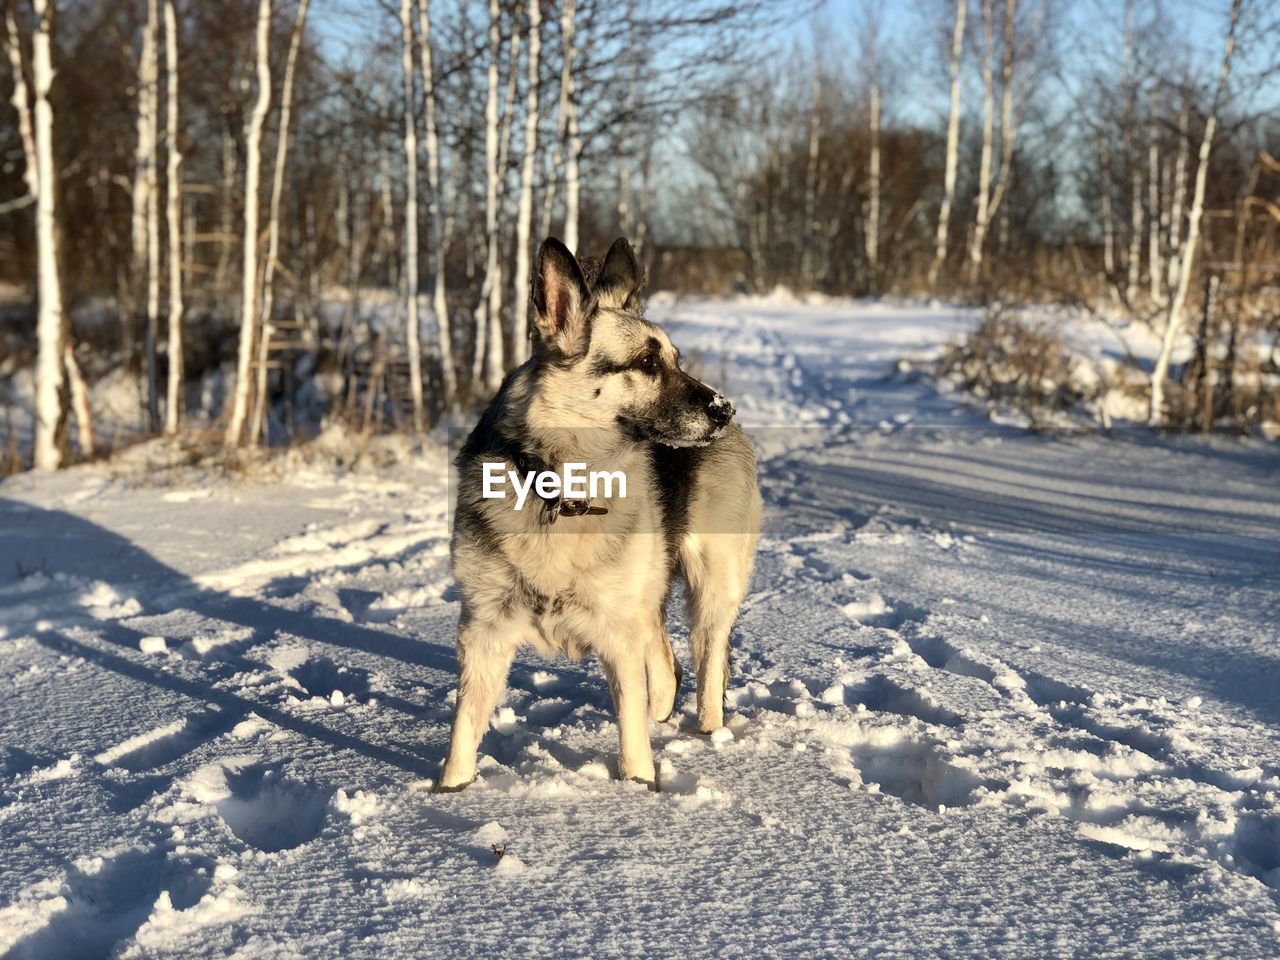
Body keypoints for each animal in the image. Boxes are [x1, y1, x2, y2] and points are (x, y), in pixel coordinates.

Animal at [440, 235, 757, 788]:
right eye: (647, 363)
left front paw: (639, 790)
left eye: (675, 360)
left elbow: (631, 738)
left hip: (710, 591)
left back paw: (709, 737)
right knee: (667, 669)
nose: (724, 409)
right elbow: (462, 735)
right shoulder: (485, 632)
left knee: (706, 667)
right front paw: (448, 796)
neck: (560, 489)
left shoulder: (617, 635)